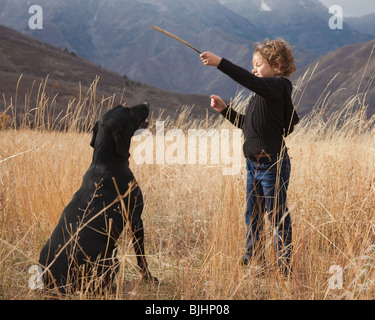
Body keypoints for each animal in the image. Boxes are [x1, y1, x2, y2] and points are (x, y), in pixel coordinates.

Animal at [37, 104, 156, 294]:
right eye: (127, 110)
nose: (146, 104)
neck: (106, 162)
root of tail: (55, 285)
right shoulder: (135, 219)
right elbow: (141, 256)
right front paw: (149, 278)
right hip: (111, 256)